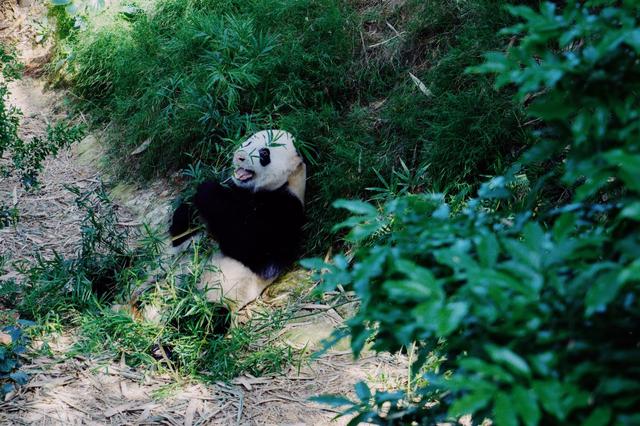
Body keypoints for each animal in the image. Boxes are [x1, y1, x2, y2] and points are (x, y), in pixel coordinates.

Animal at [169, 129, 306, 310]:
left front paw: (207, 190)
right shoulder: (236, 189)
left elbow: (257, 250)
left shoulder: (285, 209)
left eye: (264, 154)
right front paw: (183, 220)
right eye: (248, 142)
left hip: (218, 298)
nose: (240, 156)